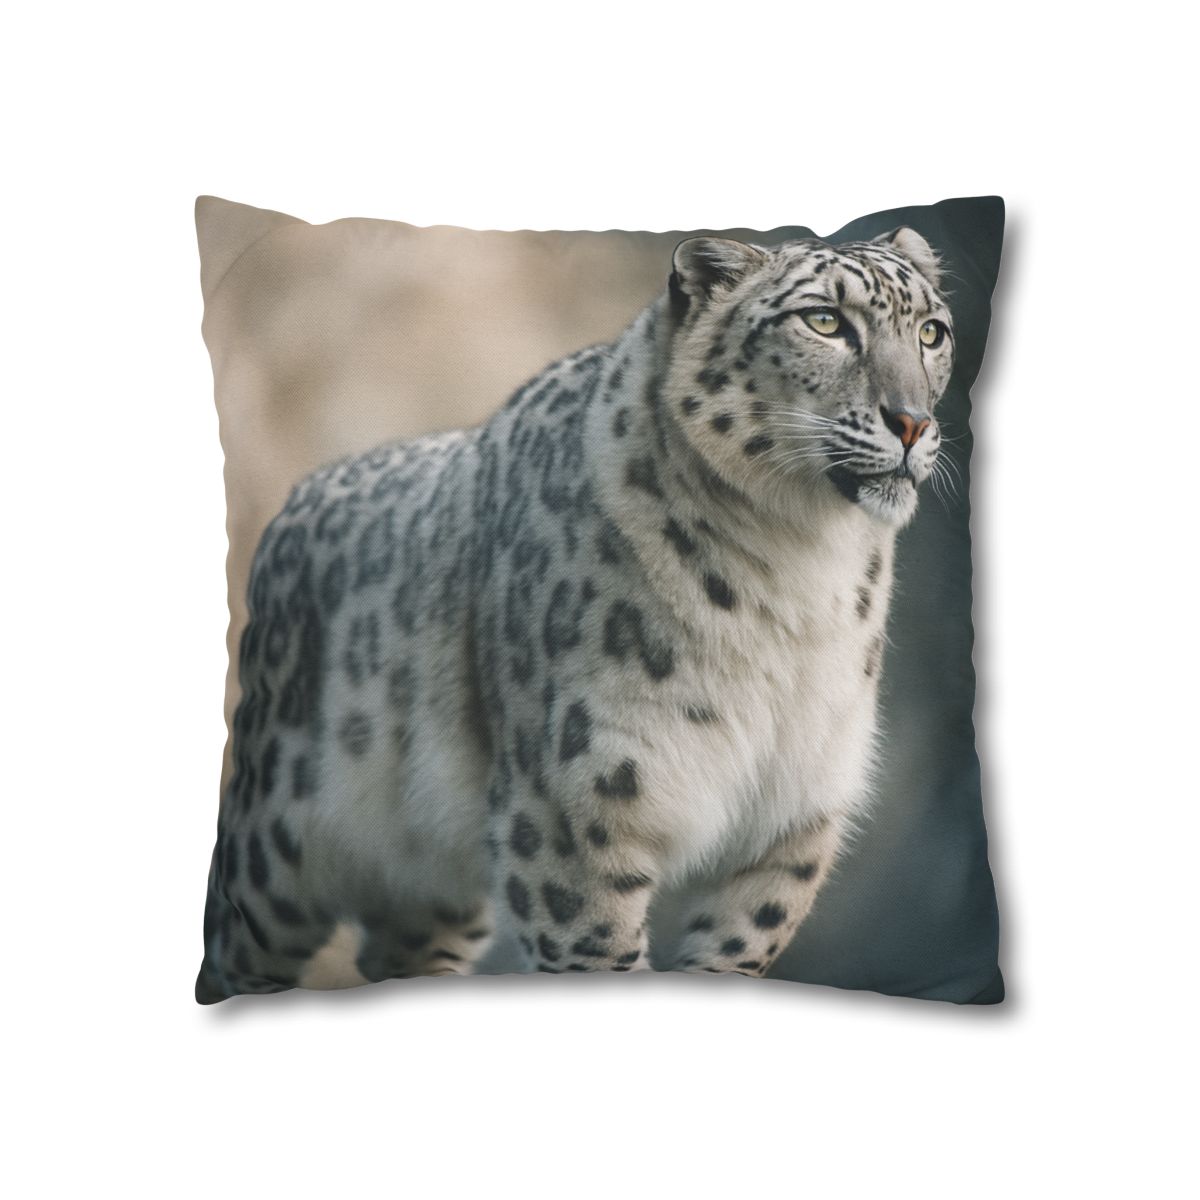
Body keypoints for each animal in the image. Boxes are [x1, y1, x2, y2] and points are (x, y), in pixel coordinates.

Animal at [196, 226, 955, 1001]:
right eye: (824, 321)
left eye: (931, 332)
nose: (912, 421)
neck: (802, 567)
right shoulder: (575, 811)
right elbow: (598, 951)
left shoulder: (790, 818)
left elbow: (735, 950)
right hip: (275, 850)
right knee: (235, 942)